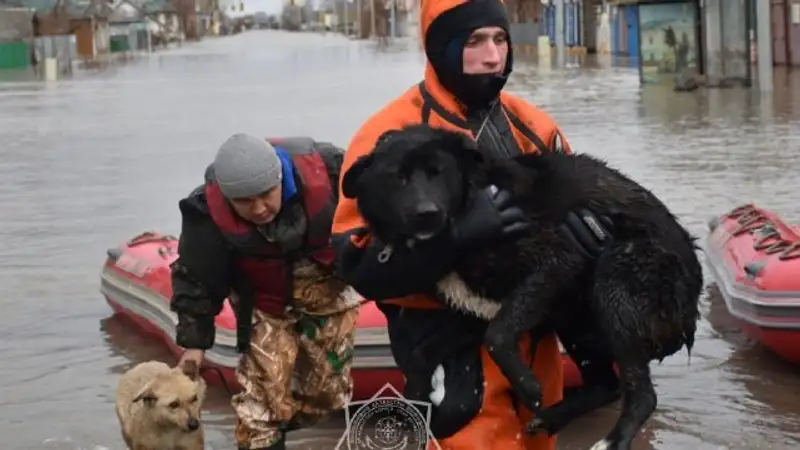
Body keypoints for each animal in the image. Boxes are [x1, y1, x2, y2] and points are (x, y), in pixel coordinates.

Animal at [340, 124, 704, 450]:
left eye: (438, 173)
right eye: (398, 177)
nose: (427, 214)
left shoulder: (555, 263)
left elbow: (498, 335)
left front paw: (527, 385)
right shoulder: (477, 308)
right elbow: (422, 353)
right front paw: (416, 396)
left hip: (613, 285)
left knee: (642, 394)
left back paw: (613, 440)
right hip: (576, 318)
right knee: (607, 384)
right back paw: (552, 418)